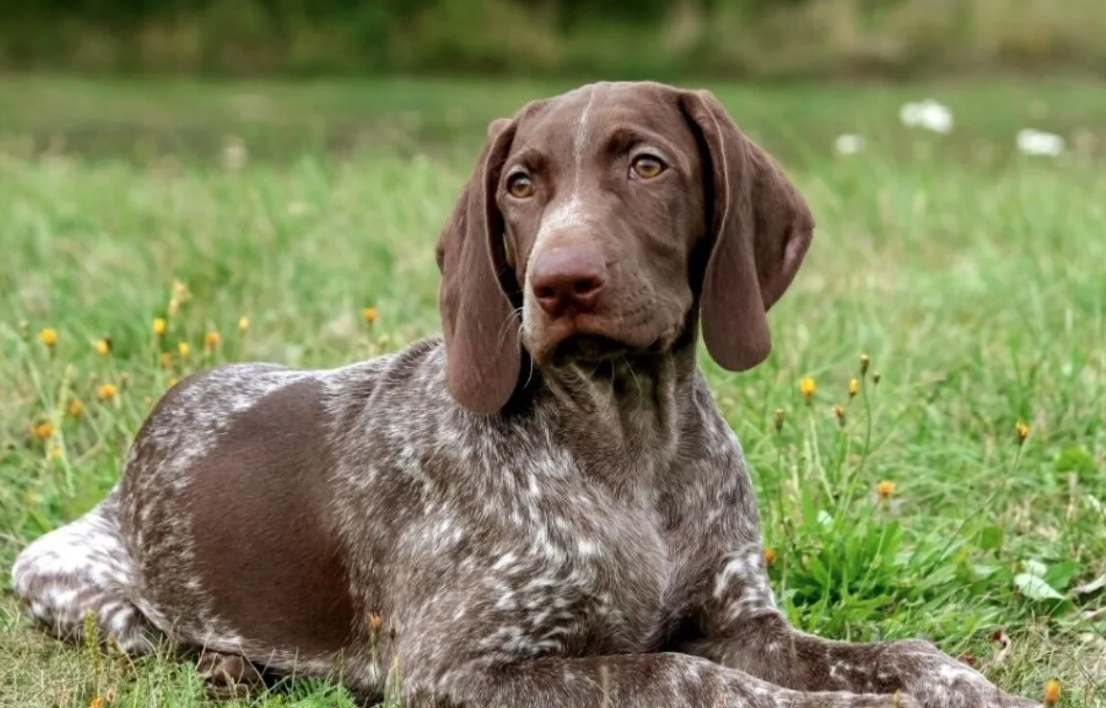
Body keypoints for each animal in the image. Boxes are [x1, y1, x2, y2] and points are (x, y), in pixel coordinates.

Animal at [12, 80, 1039, 703]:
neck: (629, 445)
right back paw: (227, 665)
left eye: (647, 164)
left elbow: (901, 656)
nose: (560, 283)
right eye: (518, 184)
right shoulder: (464, 669)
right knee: (149, 631)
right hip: (60, 576)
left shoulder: (743, 618)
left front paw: (967, 685)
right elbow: (691, 678)